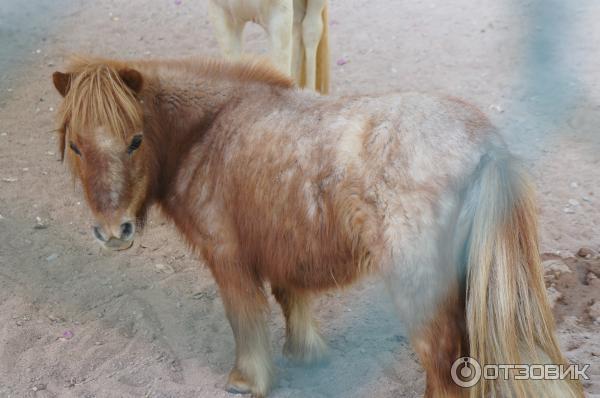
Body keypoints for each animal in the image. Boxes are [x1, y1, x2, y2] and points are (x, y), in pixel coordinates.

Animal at [50, 56, 580, 398]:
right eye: (75, 146)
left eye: (136, 140)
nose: (112, 232)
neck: (209, 131)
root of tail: (486, 146)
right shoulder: (284, 245)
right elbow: (293, 300)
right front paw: (306, 356)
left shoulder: (228, 259)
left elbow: (245, 320)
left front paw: (247, 381)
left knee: (444, 370)